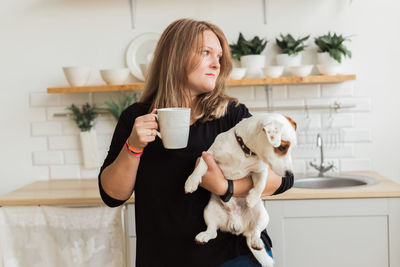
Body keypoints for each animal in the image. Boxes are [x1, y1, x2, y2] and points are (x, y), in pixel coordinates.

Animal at [184, 113, 296, 267]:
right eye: (281, 148)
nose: (291, 174)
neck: (245, 152)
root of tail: (239, 226)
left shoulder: (260, 171)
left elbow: (261, 184)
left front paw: (252, 198)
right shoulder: (209, 155)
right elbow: (201, 165)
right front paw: (192, 181)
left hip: (262, 216)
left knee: (256, 231)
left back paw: (256, 241)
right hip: (209, 211)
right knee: (212, 231)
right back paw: (204, 236)